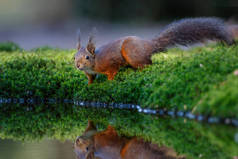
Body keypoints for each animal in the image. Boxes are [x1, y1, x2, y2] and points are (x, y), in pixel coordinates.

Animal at [74, 17, 236, 84]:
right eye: (74, 57)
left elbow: (112, 71)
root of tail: (149, 45)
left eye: (87, 57)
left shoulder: (110, 62)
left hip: (132, 54)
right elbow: (90, 78)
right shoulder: (90, 73)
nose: (78, 65)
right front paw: (89, 85)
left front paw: (110, 81)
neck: (94, 63)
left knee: (148, 64)